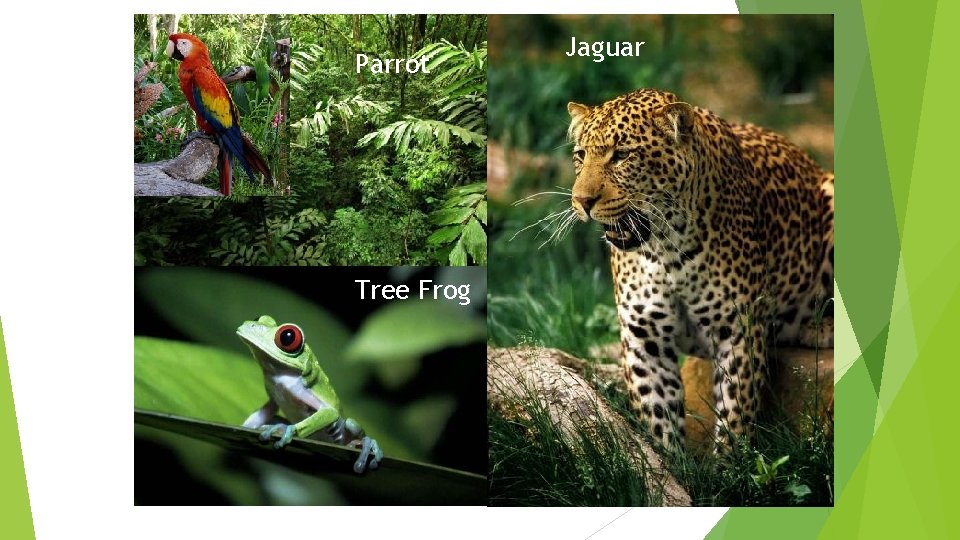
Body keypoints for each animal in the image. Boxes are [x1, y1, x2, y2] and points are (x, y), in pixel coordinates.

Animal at [566, 88, 834, 450]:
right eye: (580, 155)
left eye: (621, 155)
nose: (582, 201)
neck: (664, 250)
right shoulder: (644, 339)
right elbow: (659, 419)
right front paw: (669, 462)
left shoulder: (738, 332)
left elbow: (735, 415)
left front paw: (729, 464)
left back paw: (819, 327)